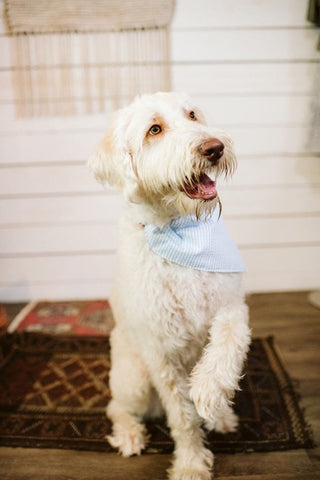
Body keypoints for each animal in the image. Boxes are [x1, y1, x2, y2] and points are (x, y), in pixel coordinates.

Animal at [89, 92, 251, 478]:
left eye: (192, 115)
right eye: (154, 130)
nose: (214, 147)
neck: (181, 231)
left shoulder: (231, 306)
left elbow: (228, 343)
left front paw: (210, 390)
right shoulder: (160, 352)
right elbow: (182, 416)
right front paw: (191, 463)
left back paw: (221, 415)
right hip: (133, 378)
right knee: (117, 407)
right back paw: (130, 435)